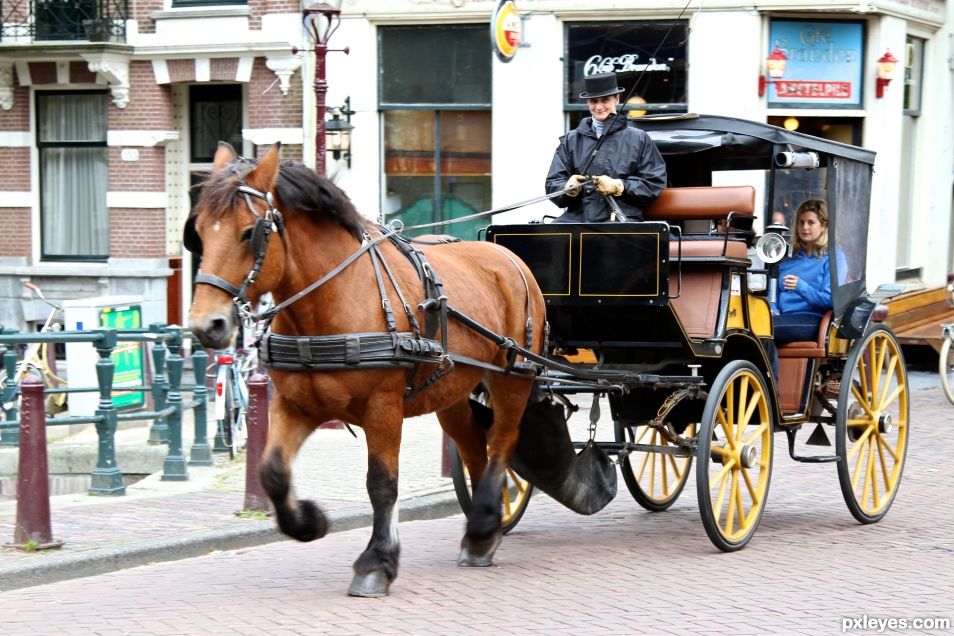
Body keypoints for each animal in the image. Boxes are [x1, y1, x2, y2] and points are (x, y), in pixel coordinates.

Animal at [186, 143, 544, 596]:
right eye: (197, 231)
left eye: (250, 232)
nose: (207, 325)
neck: (328, 303)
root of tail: (507, 255)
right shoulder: (295, 405)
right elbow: (273, 473)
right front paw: (310, 521)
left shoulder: (383, 408)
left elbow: (382, 484)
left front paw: (377, 563)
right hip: (452, 393)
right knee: (474, 448)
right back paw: (485, 530)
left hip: (512, 378)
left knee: (502, 442)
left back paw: (481, 530)